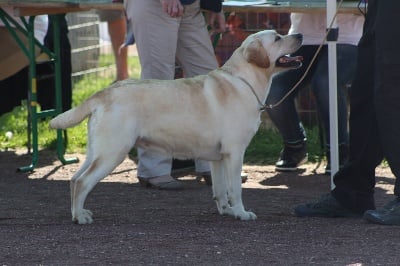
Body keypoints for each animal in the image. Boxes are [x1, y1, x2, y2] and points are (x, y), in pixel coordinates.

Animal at [50, 30, 302, 223]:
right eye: (278, 38)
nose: (299, 35)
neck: (245, 81)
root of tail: (103, 92)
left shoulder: (218, 157)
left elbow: (220, 189)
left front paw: (227, 211)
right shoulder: (235, 152)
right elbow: (235, 189)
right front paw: (241, 213)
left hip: (97, 151)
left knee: (74, 179)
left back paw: (78, 212)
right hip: (113, 152)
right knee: (82, 181)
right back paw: (81, 218)